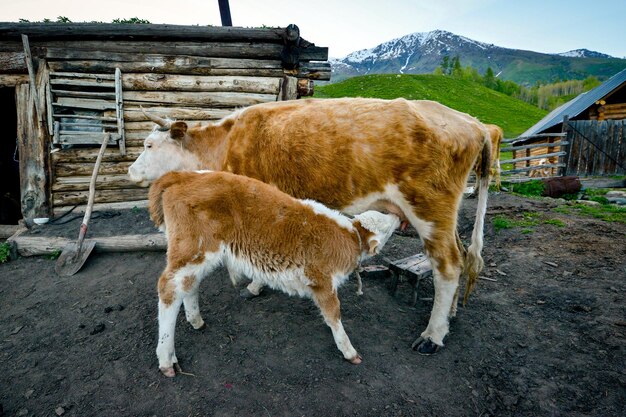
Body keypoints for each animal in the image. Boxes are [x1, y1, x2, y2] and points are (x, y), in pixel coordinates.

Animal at [128, 97, 492, 354]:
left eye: (148, 145)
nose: (130, 171)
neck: (228, 141)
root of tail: (472, 122)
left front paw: (256, 284)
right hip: (444, 216)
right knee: (460, 257)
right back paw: (449, 316)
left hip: (430, 210)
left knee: (447, 265)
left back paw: (432, 334)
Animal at [149, 169, 398, 376]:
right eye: (387, 225)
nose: (397, 216)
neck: (349, 236)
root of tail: (183, 174)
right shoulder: (322, 281)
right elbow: (333, 315)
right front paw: (349, 350)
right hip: (193, 248)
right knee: (168, 288)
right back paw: (166, 358)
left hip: (198, 255)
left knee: (188, 284)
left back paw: (196, 320)